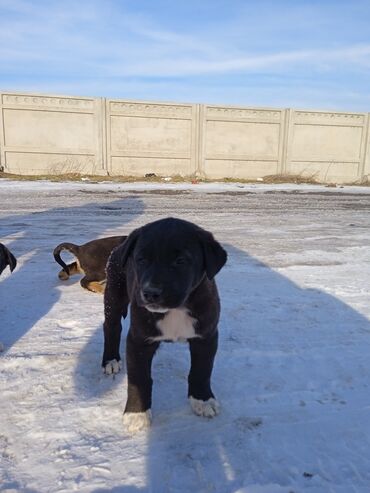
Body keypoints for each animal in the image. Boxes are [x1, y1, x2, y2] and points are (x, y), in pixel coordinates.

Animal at [102, 217, 228, 432]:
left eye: (181, 261)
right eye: (141, 259)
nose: (150, 293)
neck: (176, 309)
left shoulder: (207, 336)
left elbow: (202, 370)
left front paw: (203, 400)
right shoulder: (138, 340)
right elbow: (139, 379)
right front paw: (136, 413)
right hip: (114, 293)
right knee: (111, 326)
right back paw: (110, 360)